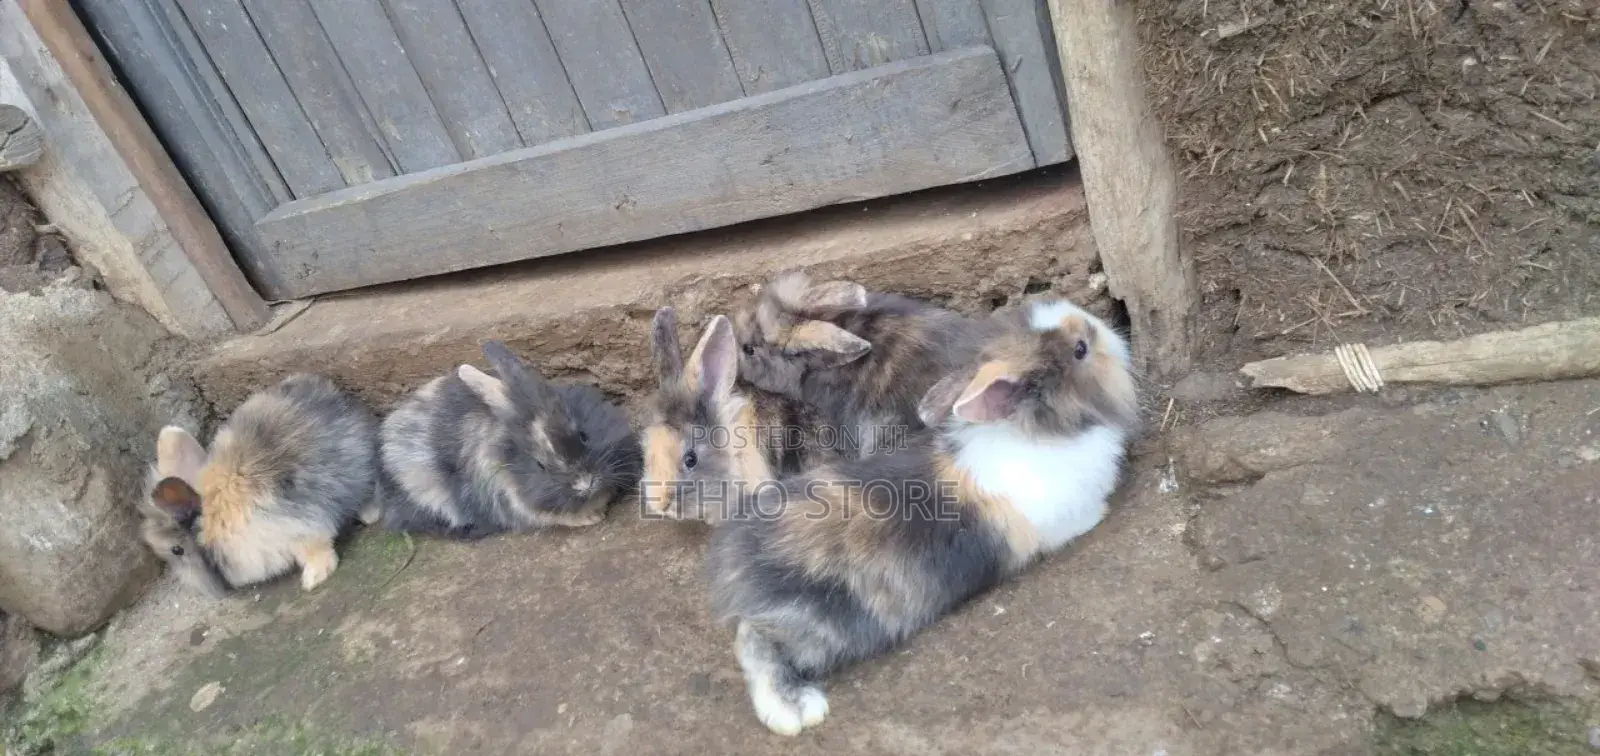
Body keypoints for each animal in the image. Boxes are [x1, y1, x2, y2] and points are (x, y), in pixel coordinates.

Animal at [140, 373, 380, 597]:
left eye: (177, 550)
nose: (200, 591)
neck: (210, 513)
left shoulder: (293, 527)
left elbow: (313, 547)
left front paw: (314, 578)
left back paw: (370, 514)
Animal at [705, 296, 1139, 735]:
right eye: (1080, 350)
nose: (1106, 328)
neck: (1038, 430)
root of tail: (735, 563)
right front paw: (1102, 512)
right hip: (816, 625)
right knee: (754, 643)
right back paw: (794, 711)